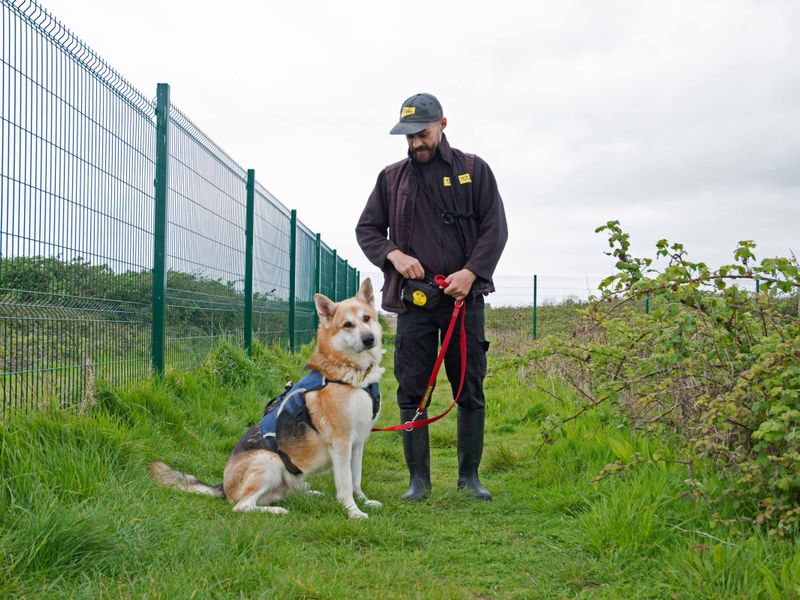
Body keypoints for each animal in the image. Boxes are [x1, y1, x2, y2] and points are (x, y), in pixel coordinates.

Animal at [152, 278, 388, 516]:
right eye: (347, 325)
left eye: (366, 318)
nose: (369, 339)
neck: (354, 375)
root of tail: (223, 486)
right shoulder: (341, 444)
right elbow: (346, 483)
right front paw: (353, 511)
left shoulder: (358, 443)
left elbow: (356, 478)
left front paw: (364, 500)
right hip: (270, 460)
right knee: (242, 506)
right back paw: (277, 511)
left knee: (284, 493)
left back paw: (308, 494)